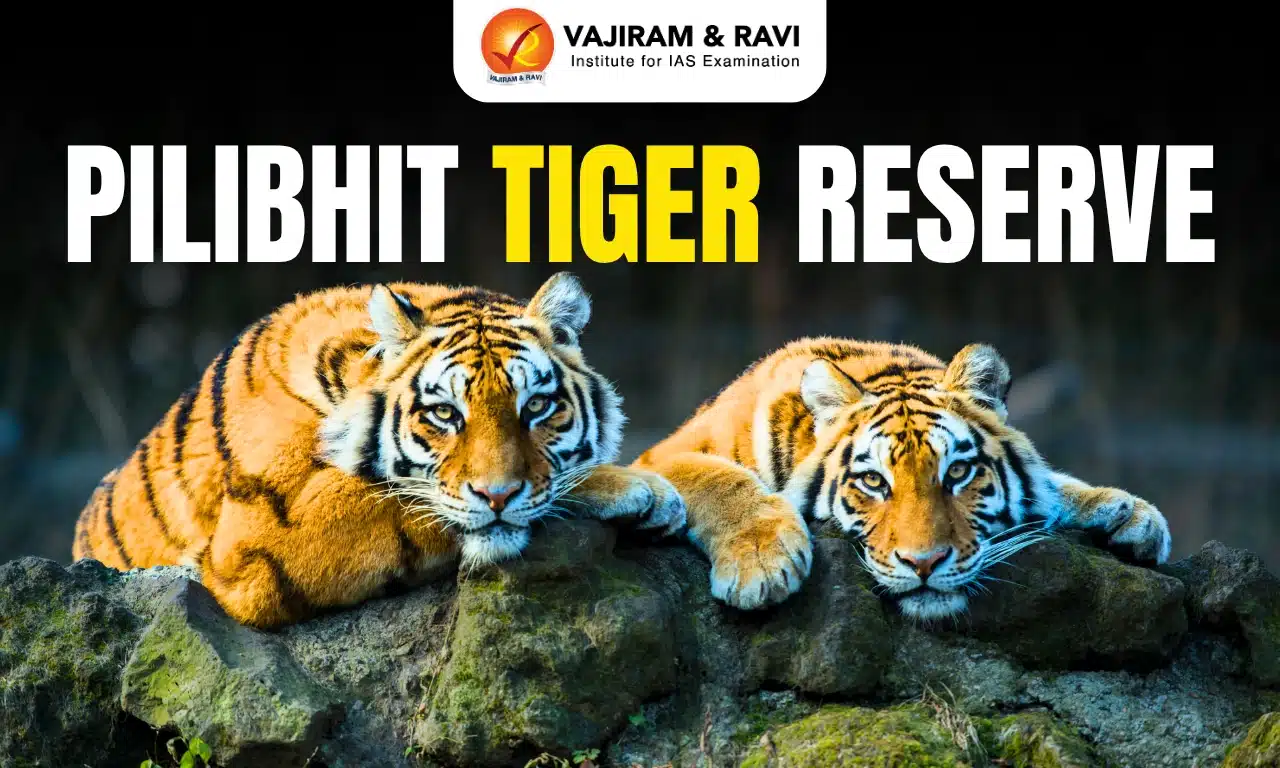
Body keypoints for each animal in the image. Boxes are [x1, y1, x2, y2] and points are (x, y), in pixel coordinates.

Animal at [71, 272, 692, 628]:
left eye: (536, 406)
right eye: (445, 414)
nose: (497, 497)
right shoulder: (258, 539)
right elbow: (404, 500)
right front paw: (637, 487)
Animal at [631, 337, 1173, 621]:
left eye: (957, 472)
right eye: (873, 482)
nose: (924, 564)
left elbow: (1052, 483)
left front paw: (1129, 512)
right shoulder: (659, 457)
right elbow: (717, 478)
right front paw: (761, 563)